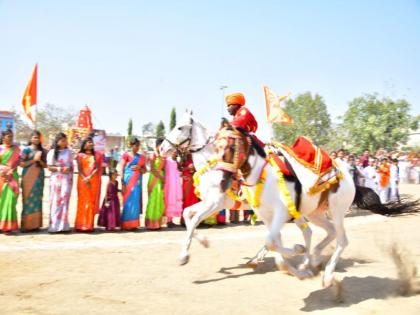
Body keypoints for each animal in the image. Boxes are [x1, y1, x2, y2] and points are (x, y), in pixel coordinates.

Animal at [159, 111, 356, 288]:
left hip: (336, 210)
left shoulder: (216, 203)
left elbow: (193, 220)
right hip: (313, 212)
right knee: (319, 232)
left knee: (339, 239)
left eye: (179, 127)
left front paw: (184, 256)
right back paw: (307, 261)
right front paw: (202, 243)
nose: (161, 148)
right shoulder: (213, 202)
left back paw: (323, 273)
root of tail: (344, 169)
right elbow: (187, 214)